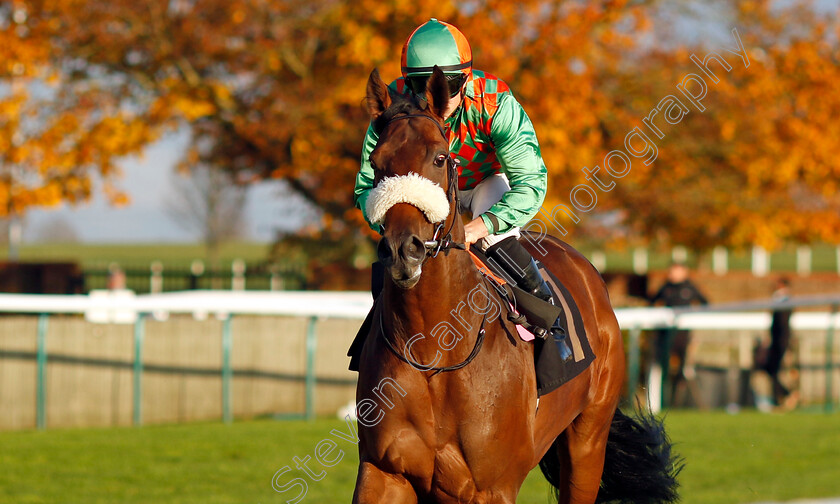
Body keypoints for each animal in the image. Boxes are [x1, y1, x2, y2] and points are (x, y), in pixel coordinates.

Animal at [352, 68, 680, 504]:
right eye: (375, 162)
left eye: (439, 158)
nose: (403, 250)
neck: (434, 350)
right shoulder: (384, 472)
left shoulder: (492, 487)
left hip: (587, 440)